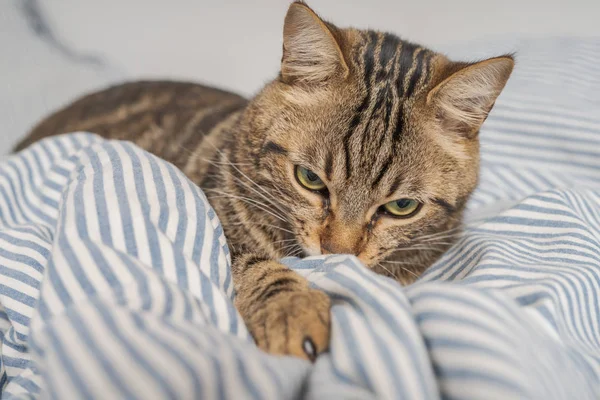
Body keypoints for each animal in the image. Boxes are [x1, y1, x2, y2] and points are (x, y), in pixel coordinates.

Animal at [16, 0, 512, 362]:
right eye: (309, 179)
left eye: (401, 207)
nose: (336, 253)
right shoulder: (213, 229)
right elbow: (256, 264)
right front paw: (291, 311)